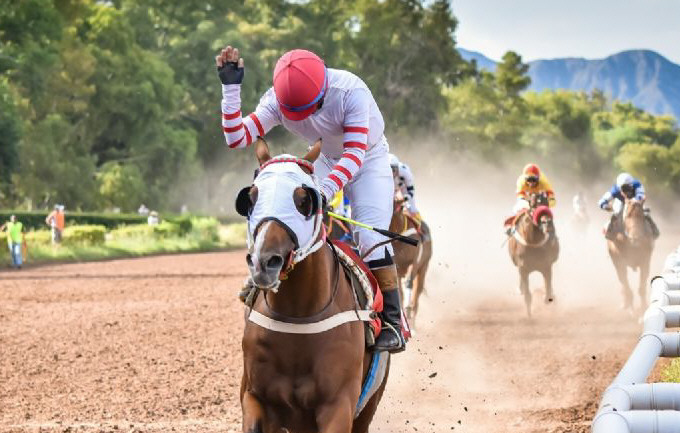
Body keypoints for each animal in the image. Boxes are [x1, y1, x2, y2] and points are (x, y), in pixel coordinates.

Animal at [236, 139, 390, 432]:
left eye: (304, 200)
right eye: (251, 198)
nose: (264, 261)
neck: (298, 315)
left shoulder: (338, 405)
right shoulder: (255, 396)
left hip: (369, 403)